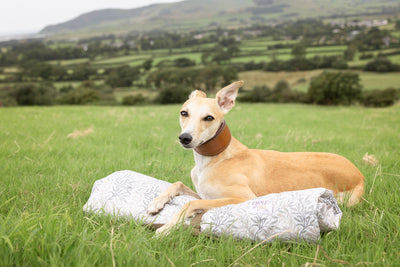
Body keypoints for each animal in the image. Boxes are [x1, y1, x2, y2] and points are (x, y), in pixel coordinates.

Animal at [148, 81, 366, 234]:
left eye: (209, 117)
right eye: (184, 113)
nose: (185, 138)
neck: (216, 157)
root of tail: (359, 174)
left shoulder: (243, 198)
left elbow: (190, 204)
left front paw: (165, 229)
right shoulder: (204, 194)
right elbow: (179, 185)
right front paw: (156, 203)